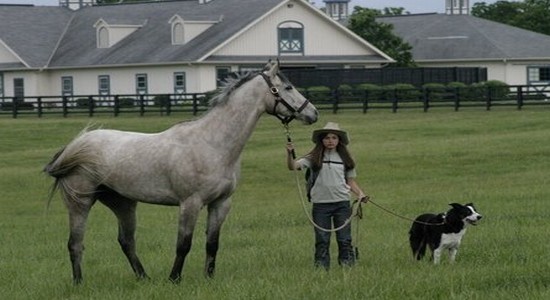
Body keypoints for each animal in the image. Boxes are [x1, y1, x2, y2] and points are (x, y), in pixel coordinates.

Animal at [44, 61, 320, 284]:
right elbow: (183, 244)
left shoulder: (221, 203)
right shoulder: (190, 203)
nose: (313, 113)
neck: (212, 143)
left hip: (123, 203)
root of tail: (75, 145)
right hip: (80, 203)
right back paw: (79, 283)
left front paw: (209, 278)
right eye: (288, 88)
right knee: (75, 243)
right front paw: (174, 279)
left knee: (126, 242)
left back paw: (144, 278)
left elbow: (212, 243)